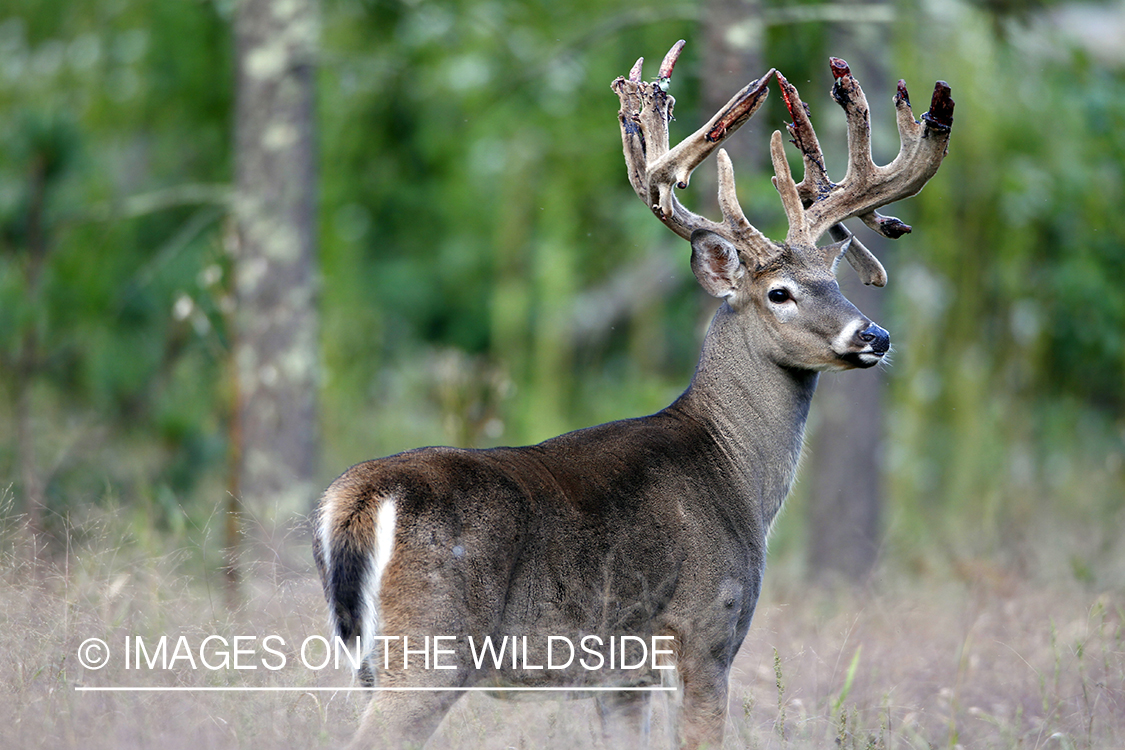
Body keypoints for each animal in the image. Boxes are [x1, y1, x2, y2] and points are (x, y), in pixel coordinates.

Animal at [312, 41, 954, 750]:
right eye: (779, 293)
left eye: (835, 281)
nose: (875, 334)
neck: (736, 470)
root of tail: (358, 498)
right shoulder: (707, 629)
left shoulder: (623, 672)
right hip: (433, 646)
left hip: (368, 655)